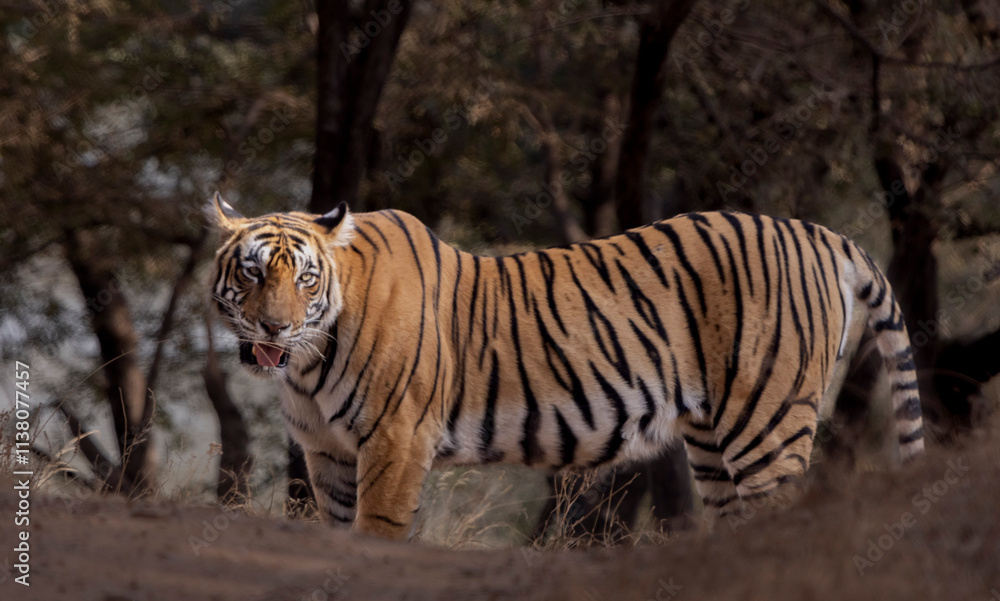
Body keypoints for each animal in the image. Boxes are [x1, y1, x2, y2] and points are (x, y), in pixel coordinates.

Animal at [208, 192, 924, 540]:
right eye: (253, 273)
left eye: (304, 278)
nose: (274, 328)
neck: (307, 363)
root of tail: (819, 231)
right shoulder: (327, 452)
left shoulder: (395, 440)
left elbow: (374, 531)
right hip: (713, 445)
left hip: (767, 424)